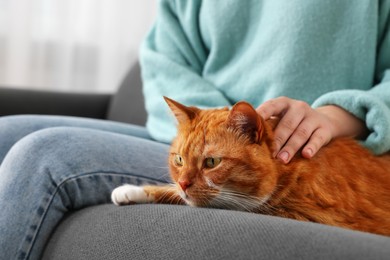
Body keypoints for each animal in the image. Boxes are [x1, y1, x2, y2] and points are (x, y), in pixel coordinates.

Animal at [112, 97, 390, 236]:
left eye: (211, 162)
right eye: (179, 159)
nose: (182, 183)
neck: (290, 169)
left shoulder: (314, 216)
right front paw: (133, 190)